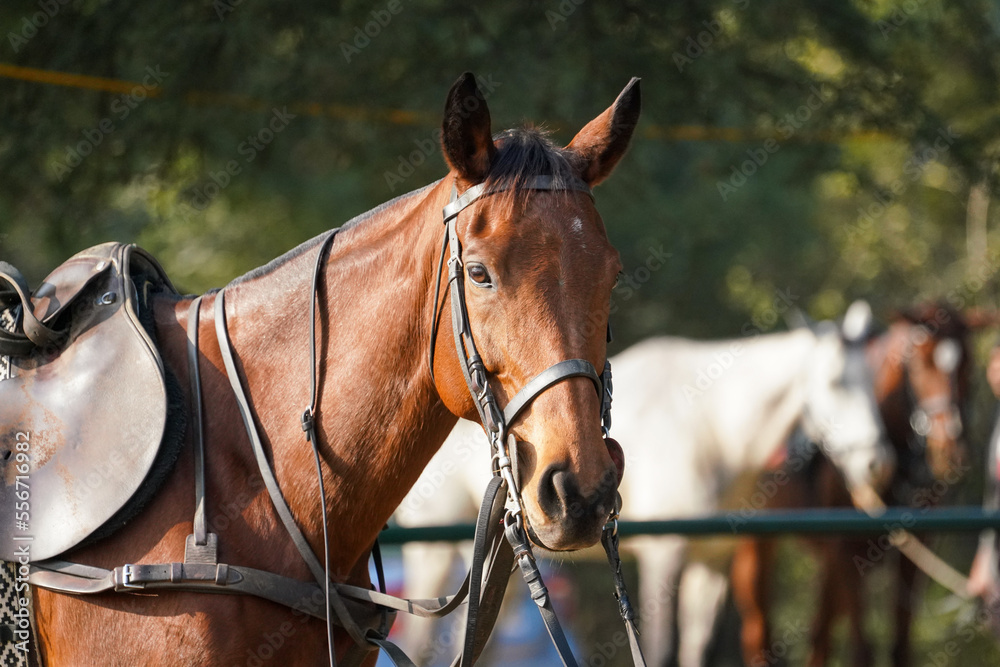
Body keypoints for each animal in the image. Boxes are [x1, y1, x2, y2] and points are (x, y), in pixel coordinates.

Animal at [395, 302, 893, 667]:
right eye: (835, 382)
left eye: (873, 379)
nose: (876, 463)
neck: (708, 427)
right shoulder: (664, 555)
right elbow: (659, 646)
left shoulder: (711, 564)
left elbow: (694, 651)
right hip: (435, 553)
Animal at [730, 303, 972, 667]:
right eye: (919, 363)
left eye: (967, 363)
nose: (950, 449)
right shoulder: (845, 551)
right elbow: (862, 647)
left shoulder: (908, 553)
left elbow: (898, 643)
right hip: (757, 545)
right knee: (759, 633)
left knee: (820, 635)